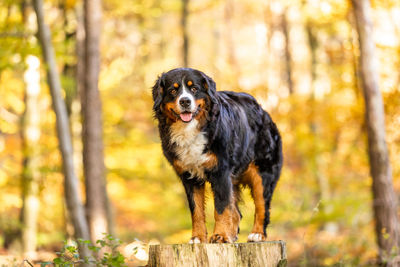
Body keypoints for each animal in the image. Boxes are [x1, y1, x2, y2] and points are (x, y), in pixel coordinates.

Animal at [152, 68, 282, 244]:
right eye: (173, 90)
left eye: (194, 89)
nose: (185, 101)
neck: (191, 130)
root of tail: (264, 112)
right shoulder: (189, 177)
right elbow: (197, 210)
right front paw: (198, 237)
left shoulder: (221, 173)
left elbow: (221, 208)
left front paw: (220, 235)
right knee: (236, 213)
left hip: (263, 173)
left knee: (262, 207)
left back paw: (257, 234)